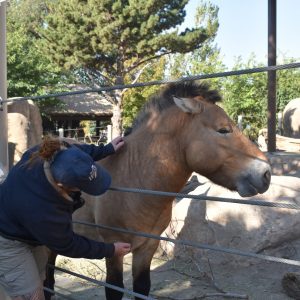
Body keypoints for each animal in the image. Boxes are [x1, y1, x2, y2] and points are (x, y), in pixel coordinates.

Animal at [44, 81, 272, 298]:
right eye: (223, 130)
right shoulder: (114, 249)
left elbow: (141, 288)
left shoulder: (147, 247)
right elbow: (114, 289)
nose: (266, 173)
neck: (133, 179)